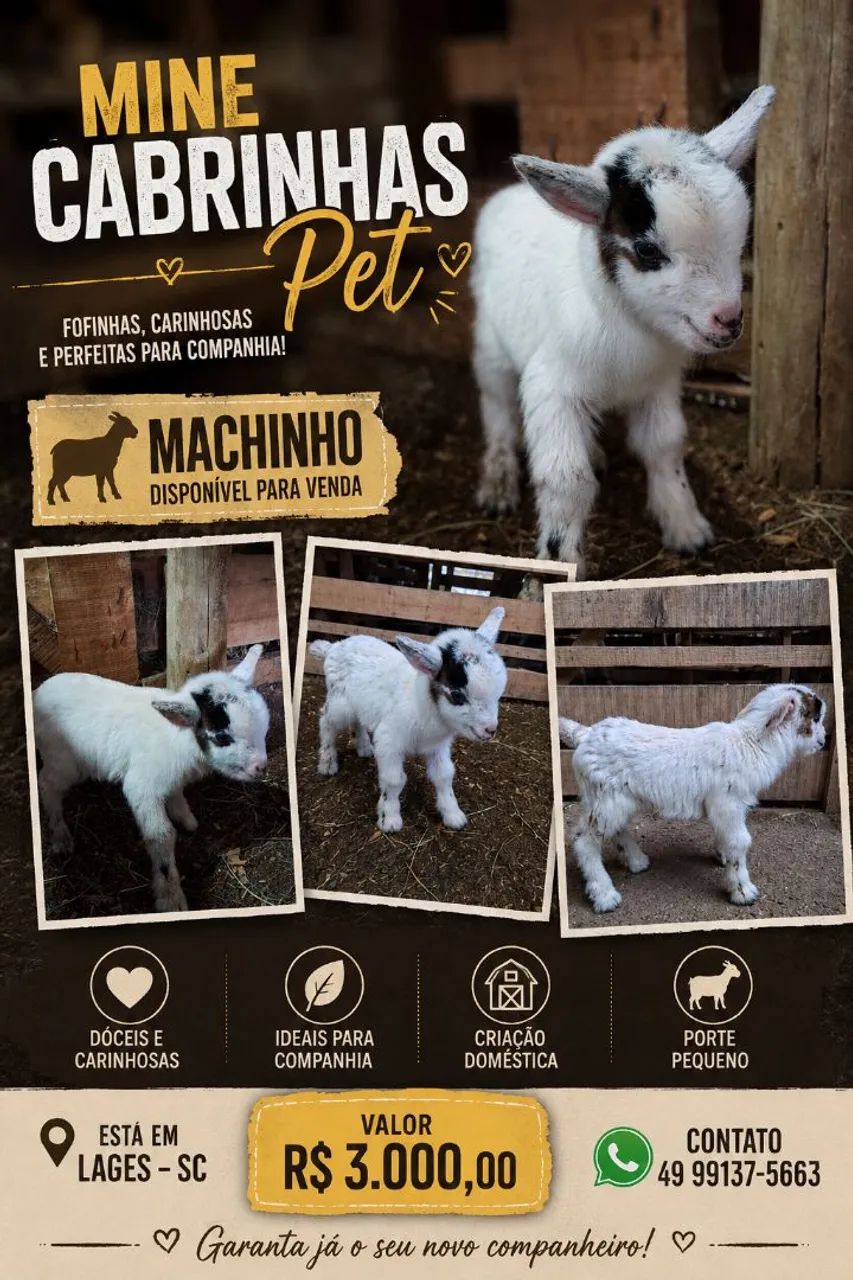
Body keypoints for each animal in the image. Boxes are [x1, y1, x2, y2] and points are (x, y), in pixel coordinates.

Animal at [34, 645, 269, 913]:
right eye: (221, 737)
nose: (261, 767)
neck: (177, 737)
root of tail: (37, 693)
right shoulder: (142, 786)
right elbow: (161, 836)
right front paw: (170, 899)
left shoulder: (170, 778)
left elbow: (176, 795)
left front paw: (186, 819)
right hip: (62, 760)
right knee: (47, 784)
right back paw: (60, 837)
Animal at [310, 606, 507, 833]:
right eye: (457, 695)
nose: (490, 730)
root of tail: (333, 647)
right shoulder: (389, 741)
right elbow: (394, 780)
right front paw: (389, 819)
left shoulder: (438, 746)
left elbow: (444, 775)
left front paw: (453, 815)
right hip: (339, 702)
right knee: (326, 721)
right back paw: (327, 763)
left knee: (358, 720)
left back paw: (365, 748)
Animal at [471, 87, 775, 576]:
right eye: (647, 250)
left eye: (740, 239)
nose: (728, 319)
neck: (627, 323)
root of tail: (509, 194)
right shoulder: (551, 386)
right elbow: (566, 479)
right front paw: (558, 565)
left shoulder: (658, 385)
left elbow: (664, 447)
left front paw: (686, 527)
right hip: (490, 346)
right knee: (496, 408)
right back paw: (497, 483)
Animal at [560, 683, 828, 913]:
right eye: (815, 717)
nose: (824, 741)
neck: (751, 742)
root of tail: (585, 735)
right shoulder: (729, 802)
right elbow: (740, 842)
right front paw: (743, 891)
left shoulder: (724, 807)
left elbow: (725, 836)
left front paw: (722, 856)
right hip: (605, 798)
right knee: (584, 841)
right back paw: (605, 896)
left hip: (614, 799)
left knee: (615, 829)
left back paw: (636, 861)